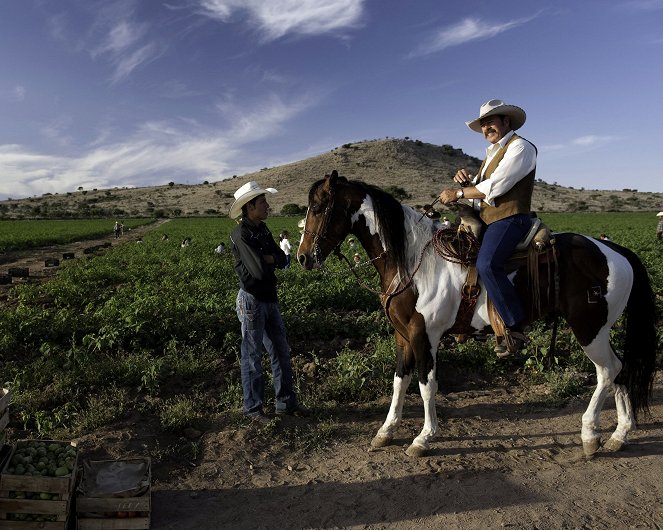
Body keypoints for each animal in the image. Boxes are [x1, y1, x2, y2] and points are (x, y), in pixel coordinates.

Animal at [296, 171, 660, 456]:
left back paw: (589, 434)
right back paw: (619, 435)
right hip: (600, 329)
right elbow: (400, 381)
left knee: (607, 370)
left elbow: (426, 385)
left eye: (319, 207)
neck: (412, 262)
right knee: (620, 370)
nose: (302, 258)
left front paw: (423, 438)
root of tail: (613, 249)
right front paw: (385, 431)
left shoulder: (424, 336)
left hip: (588, 328)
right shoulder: (403, 335)